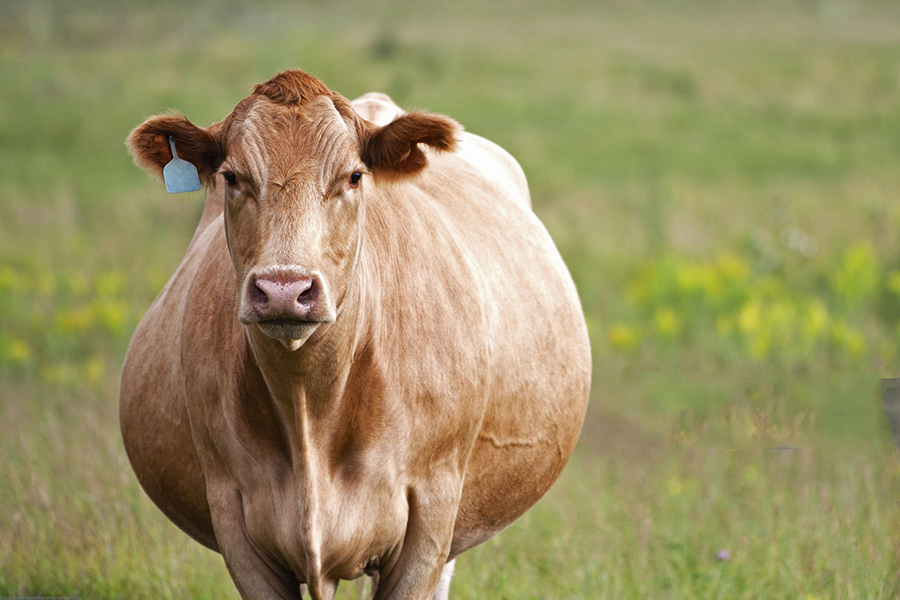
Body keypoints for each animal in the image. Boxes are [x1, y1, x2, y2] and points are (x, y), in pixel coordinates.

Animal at [121, 71, 592, 600]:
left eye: (353, 177)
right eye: (231, 177)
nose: (284, 289)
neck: (310, 404)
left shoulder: (431, 513)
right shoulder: (234, 520)